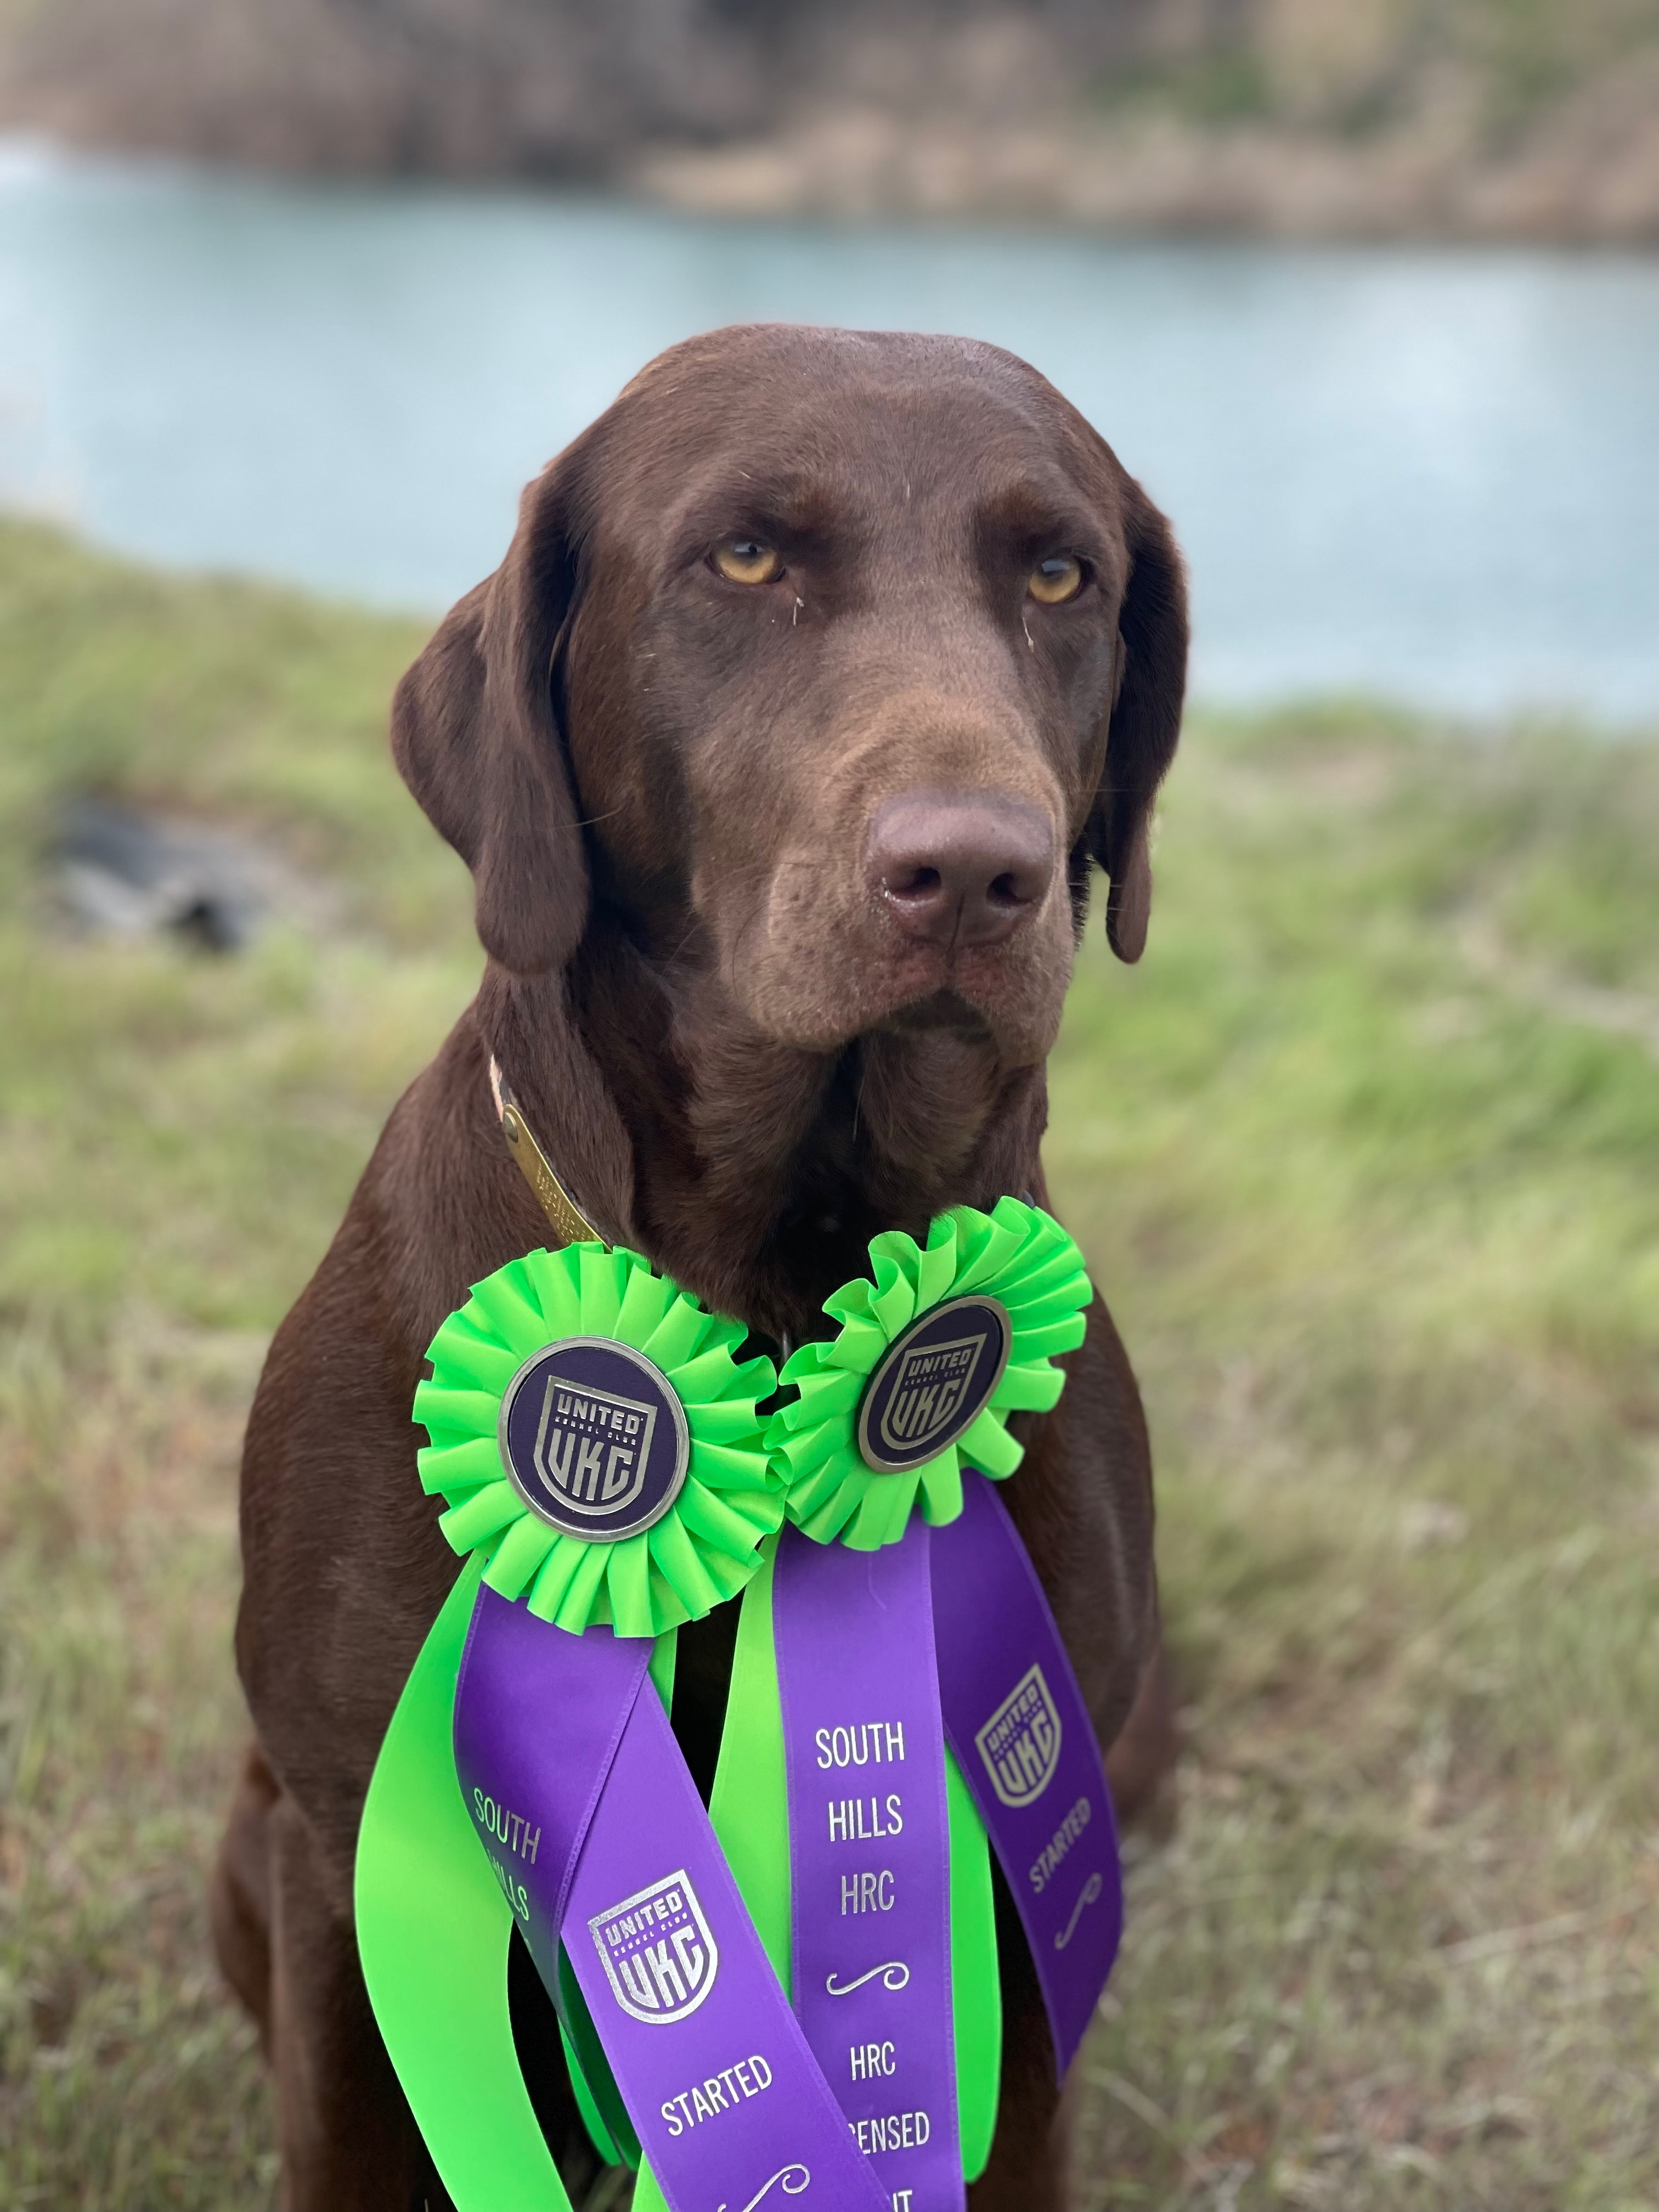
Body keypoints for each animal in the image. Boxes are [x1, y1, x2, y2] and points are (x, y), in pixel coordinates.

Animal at [215, 320, 1186, 2203]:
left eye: (1061, 576)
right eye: (742, 558)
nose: (978, 871)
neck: (773, 1296)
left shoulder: (1023, 1860)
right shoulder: (343, 1851)